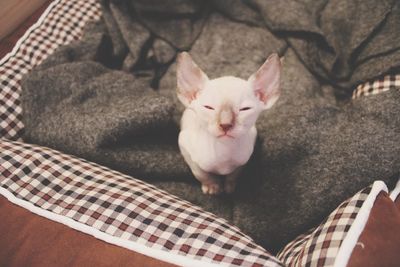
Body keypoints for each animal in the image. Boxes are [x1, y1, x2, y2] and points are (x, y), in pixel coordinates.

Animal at [177, 52, 282, 195]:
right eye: (208, 107)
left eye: (245, 109)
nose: (225, 124)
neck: (224, 150)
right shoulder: (184, 145)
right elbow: (201, 173)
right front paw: (212, 185)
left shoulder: (245, 156)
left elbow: (234, 174)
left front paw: (230, 186)